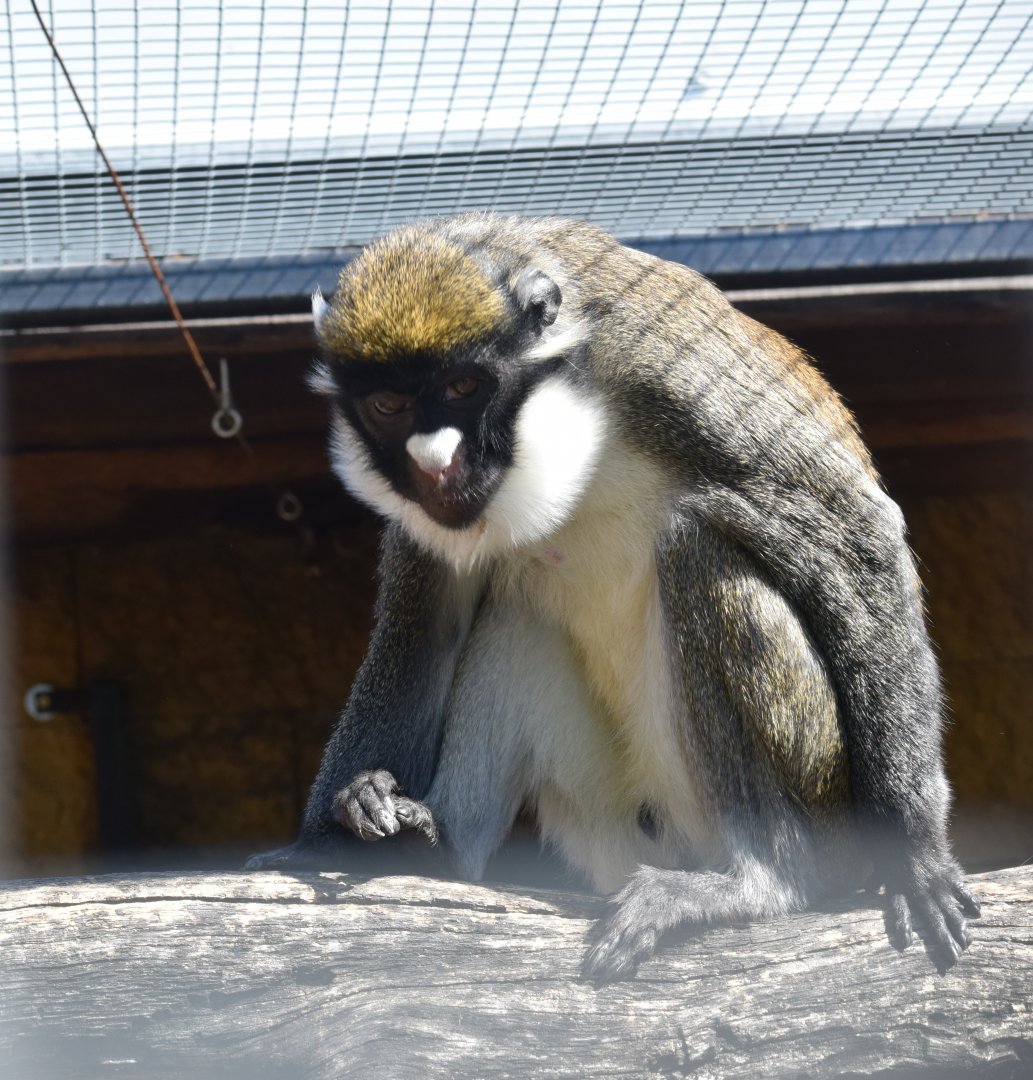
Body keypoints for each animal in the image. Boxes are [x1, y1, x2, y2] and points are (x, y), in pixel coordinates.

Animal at [246, 213, 979, 979]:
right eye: (387, 405)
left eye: (464, 386)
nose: (434, 462)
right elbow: (421, 633)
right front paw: (321, 840)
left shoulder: (665, 372)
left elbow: (854, 536)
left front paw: (918, 859)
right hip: (614, 817)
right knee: (514, 613)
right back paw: (433, 846)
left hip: (822, 799)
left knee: (696, 549)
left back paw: (767, 881)